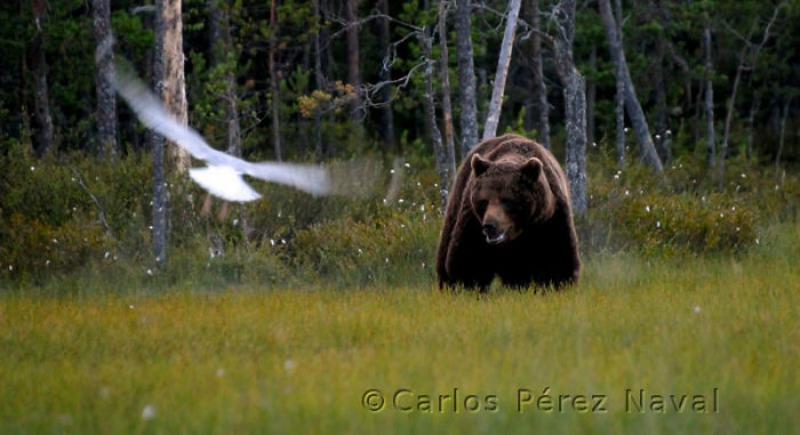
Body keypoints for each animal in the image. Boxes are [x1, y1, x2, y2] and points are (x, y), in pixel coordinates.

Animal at [438, 135, 580, 292]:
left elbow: (559, 260)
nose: (489, 226)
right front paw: (467, 286)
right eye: (484, 201)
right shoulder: (473, 222)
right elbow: (468, 260)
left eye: (507, 200)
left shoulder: (550, 220)